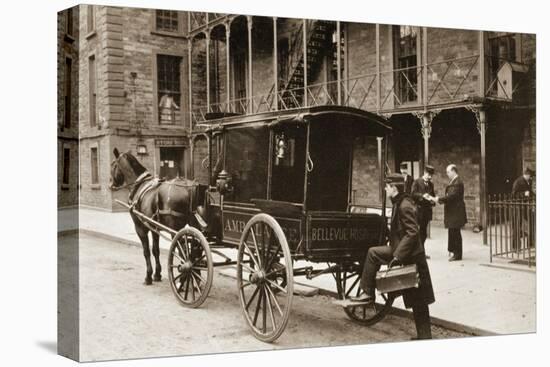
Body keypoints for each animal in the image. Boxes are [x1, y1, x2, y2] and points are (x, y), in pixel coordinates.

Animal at [108, 148, 203, 286]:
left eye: (113, 165)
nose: (110, 184)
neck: (139, 185)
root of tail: (190, 188)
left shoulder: (140, 227)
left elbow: (146, 251)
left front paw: (148, 276)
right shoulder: (154, 228)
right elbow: (155, 250)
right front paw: (157, 274)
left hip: (176, 230)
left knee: (184, 251)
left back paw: (184, 277)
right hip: (195, 226)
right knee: (196, 250)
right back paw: (196, 278)